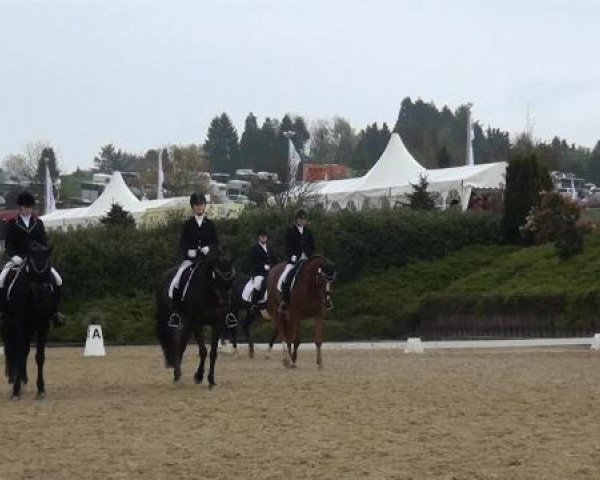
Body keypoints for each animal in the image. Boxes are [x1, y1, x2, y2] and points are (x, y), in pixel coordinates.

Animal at [0, 244, 56, 398]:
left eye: (48, 270)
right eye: (31, 268)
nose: (42, 296)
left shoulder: (42, 325)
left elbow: (40, 356)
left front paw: (40, 389)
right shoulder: (19, 324)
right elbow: (18, 354)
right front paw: (15, 391)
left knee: (24, 351)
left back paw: (23, 380)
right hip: (8, 327)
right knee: (11, 352)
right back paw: (15, 381)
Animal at [156, 253, 236, 388]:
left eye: (231, 280)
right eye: (216, 277)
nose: (224, 303)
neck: (209, 293)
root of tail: (164, 276)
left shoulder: (217, 324)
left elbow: (213, 353)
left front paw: (211, 380)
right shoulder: (196, 324)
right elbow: (203, 351)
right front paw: (198, 376)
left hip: (187, 324)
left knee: (181, 345)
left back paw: (177, 374)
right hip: (173, 321)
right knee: (175, 343)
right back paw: (177, 376)